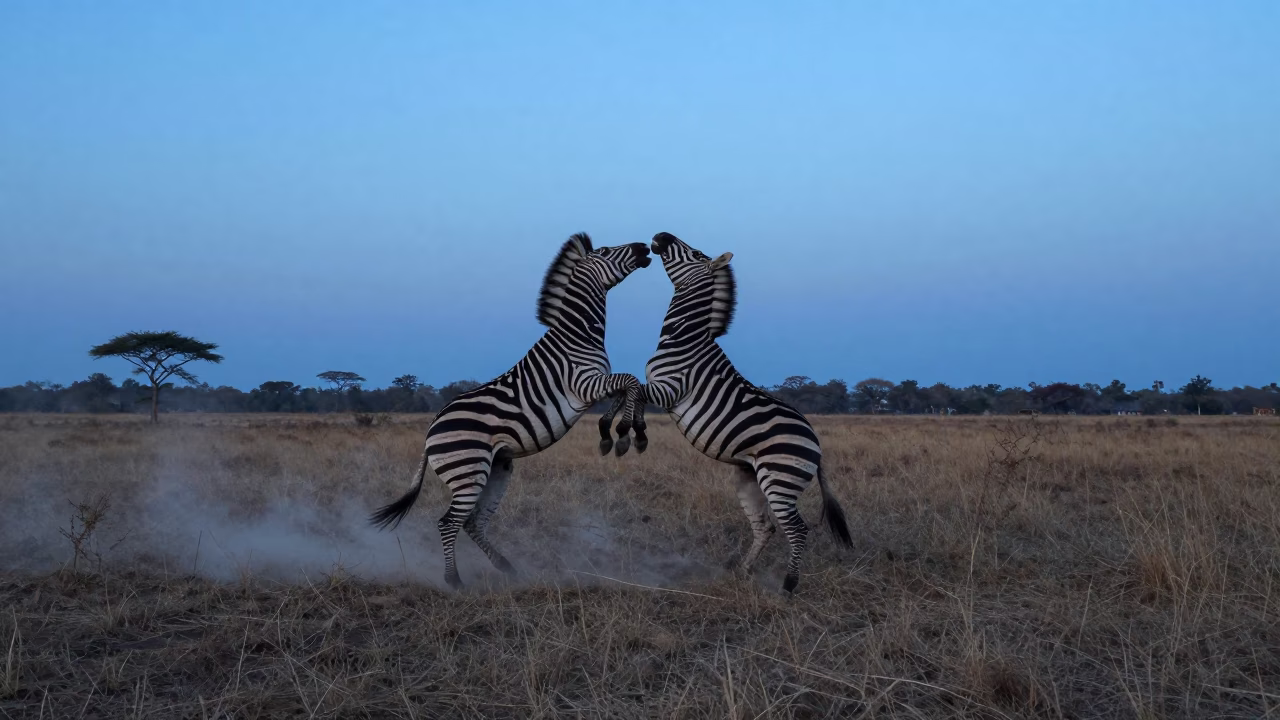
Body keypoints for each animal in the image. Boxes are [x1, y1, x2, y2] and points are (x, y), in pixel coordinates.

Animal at [369, 233, 652, 589]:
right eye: (603, 251)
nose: (644, 247)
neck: (578, 334)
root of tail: (431, 429)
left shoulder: (597, 383)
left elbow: (628, 388)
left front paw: (612, 432)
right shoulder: (582, 382)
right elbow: (631, 382)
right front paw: (627, 434)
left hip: (496, 469)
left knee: (472, 522)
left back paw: (507, 567)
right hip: (468, 470)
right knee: (448, 522)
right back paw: (454, 580)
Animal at [625, 231, 853, 593]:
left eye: (695, 254)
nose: (660, 235)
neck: (685, 337)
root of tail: (816, 445)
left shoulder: (671, 388)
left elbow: (631, 387)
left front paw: (628, 431)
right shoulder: (660, 389)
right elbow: (632, 390)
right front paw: (633, 429)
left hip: (779, 480)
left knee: (796, 529)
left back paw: (788, 586)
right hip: (749, 478)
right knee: (765, 527)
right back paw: (743, 571)